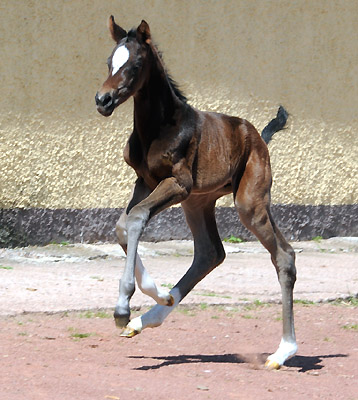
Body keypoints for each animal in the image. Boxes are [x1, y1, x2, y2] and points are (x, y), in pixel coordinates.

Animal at [95, 18, 296, 368]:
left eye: (134, 65)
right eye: (110, 62)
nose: (103, 100)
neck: (158, 127)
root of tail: (258, 135)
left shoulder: (177, 183)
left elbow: (136, 219)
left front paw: (122, 308)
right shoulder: (144, 182)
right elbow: (123, 225)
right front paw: (158, 294)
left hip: (248, 201)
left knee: (283, 255)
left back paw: (283, 351)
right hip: (198, 202)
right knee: (210, 253)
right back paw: (153, 312)